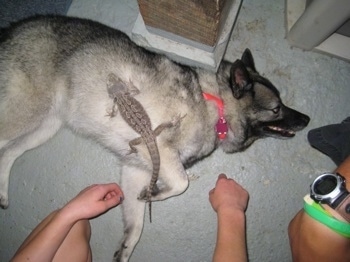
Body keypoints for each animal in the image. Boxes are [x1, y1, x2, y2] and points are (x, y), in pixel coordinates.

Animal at [0, 15, 310, 260]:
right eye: (276, 108)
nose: (306, 119)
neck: (217, 105)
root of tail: (14, 27)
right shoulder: (161, 149)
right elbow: (182, 183)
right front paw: (156, 194)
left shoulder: (137, 167)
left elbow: (135, 224)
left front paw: (128, 243)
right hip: (24, 114)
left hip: (44, 125)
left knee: (8, 153)